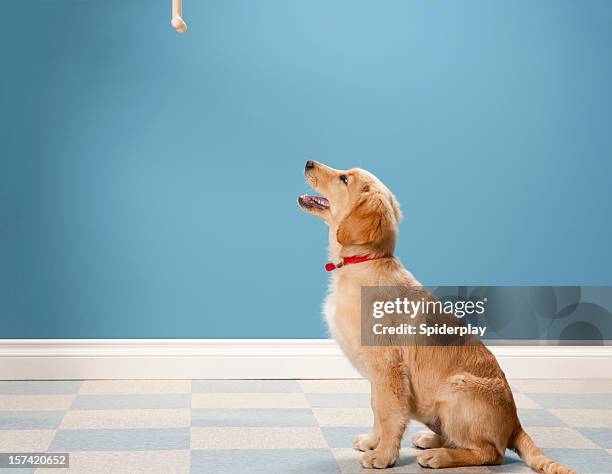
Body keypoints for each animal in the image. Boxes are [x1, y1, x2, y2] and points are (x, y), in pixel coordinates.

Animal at [296, 161, 572, 472]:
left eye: (344, 179)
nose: (308, 162)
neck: (364, 262)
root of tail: (515, 423)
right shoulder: (378, 376)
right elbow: (377, 408)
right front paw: (372, 441)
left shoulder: (388, 367)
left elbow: (389, 413)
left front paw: (383, 456)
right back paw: (430, 440)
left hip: (455, 389)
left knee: (490, 452)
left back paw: (438, 456)